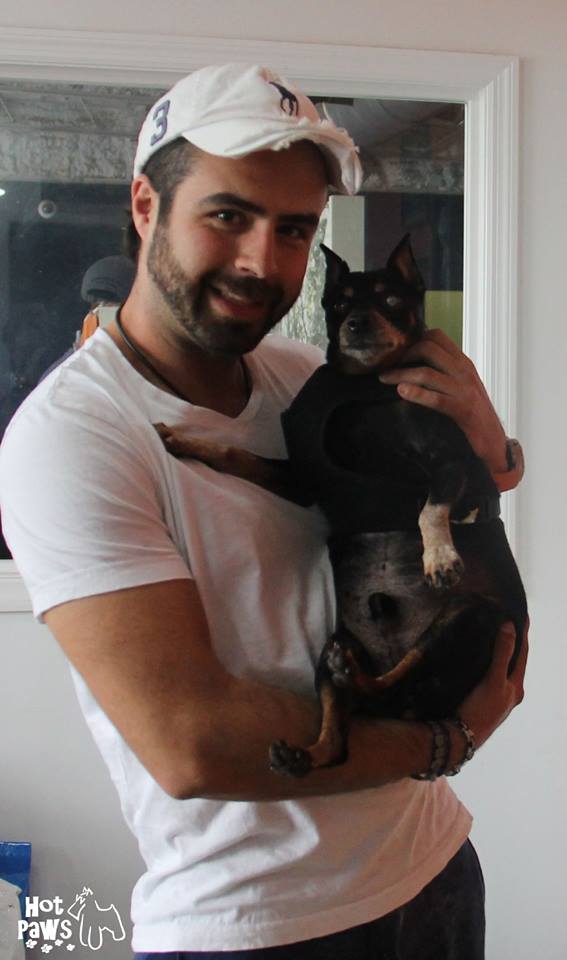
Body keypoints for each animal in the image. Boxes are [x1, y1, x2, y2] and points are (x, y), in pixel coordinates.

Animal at [155, 235, 527, 777]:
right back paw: (303, 751)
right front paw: (186, 442)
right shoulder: (304, 477)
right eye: (339, 305)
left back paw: (356, 675)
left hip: (469, 617)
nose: (358, 324)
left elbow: (429, 508)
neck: (366, 381)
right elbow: (237, 455)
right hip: (342, 641)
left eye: (390, 299)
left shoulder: (455, 466)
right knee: (341, 737)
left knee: (391, 684)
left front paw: (438, 556)